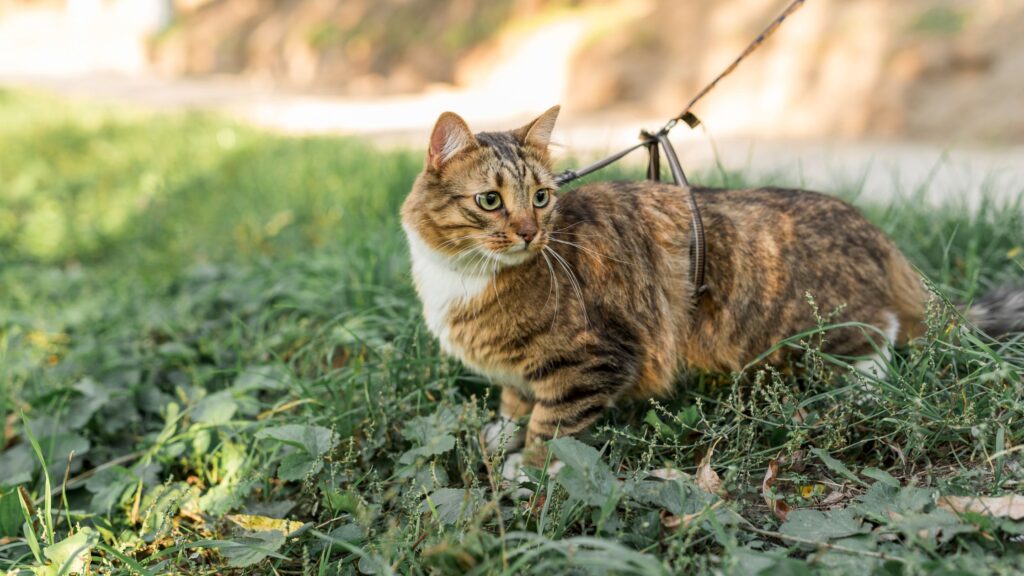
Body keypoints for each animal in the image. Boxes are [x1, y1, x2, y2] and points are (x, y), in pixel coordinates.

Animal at [399, 105, 1024, 477]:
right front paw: (500, 434)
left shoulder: (592, 358)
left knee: (881, 341)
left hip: (827, 328)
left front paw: (524, 472)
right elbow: (513, 401)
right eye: (489, 201)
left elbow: (550, 427)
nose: (531, 232)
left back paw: (858, 393)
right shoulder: (521, 369)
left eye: (540, 198)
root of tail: (874, 231)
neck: (459, 274)